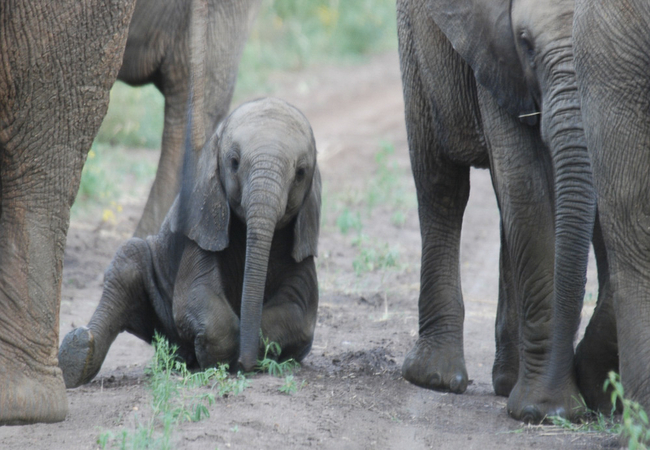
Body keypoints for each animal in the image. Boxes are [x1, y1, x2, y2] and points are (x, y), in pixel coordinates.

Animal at [62, 98, 320, 386]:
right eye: (234, 162)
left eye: (301, 173)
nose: (245, 365)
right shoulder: (202, 230)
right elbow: (196, 294)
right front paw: (220, 360)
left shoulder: (301, 247)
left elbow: (300, 314)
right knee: (127, 265)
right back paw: (78, 355)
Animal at [392, 0, 596, 422]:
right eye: (525, 43)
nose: (561, 410)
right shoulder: (499, 55)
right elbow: (523, 180)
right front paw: (541, 410)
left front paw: (545, 407)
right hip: (414, 41)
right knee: (441, 183)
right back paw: (434, 377)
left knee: (503, 210)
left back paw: (506, 382)